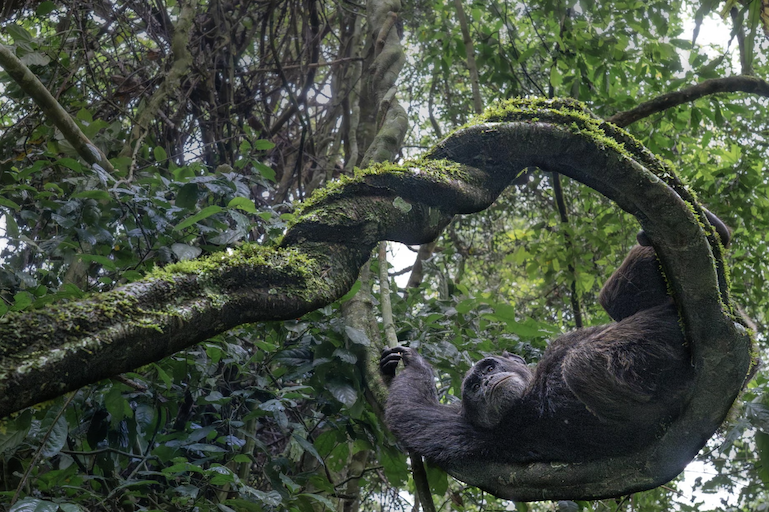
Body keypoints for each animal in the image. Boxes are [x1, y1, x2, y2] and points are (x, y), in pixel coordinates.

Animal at [380, 211, 729, 470]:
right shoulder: (466, 430)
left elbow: (413, 415)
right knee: (583, 364)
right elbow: (412, 417)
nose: (488, 381)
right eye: (474, 386)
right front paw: (413, 363)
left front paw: (399, 364)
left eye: (489, 368)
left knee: (613, 300)